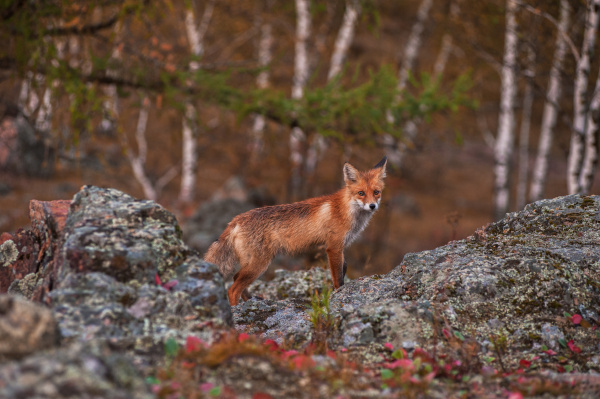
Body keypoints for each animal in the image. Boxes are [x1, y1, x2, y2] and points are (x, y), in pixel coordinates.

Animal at [204, 157, 386, 306]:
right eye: (361, 193)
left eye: (376, 192)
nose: (372, 206)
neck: (346, 210)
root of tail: (236, 219)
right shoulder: (333, 247)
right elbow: (338, 278)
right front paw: (339, 294)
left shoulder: (342, 246)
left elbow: (344, 269)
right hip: (259, 264)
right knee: (232, 289)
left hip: (251, 264)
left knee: (236, 279)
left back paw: (251, 301)